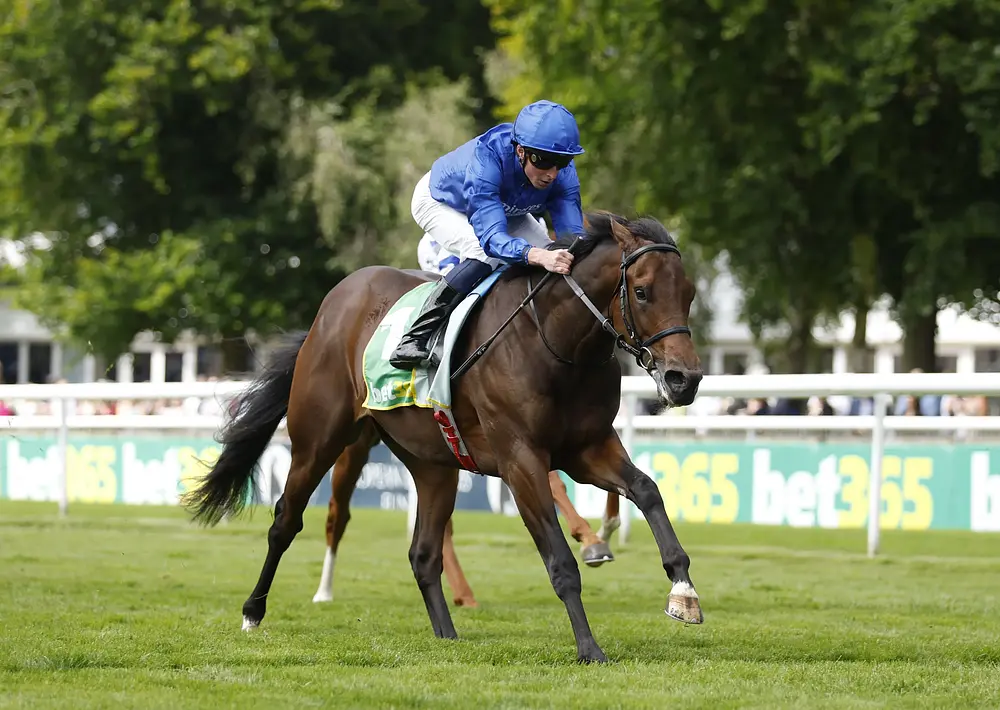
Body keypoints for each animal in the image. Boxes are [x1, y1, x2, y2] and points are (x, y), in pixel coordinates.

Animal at [310, 419, 624, 608]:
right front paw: (591, 541)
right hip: (352, 444)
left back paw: (463, 594)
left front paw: (602, 533)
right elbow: (554, 482)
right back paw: (324, 590)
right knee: (337, 515)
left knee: (441, 523)